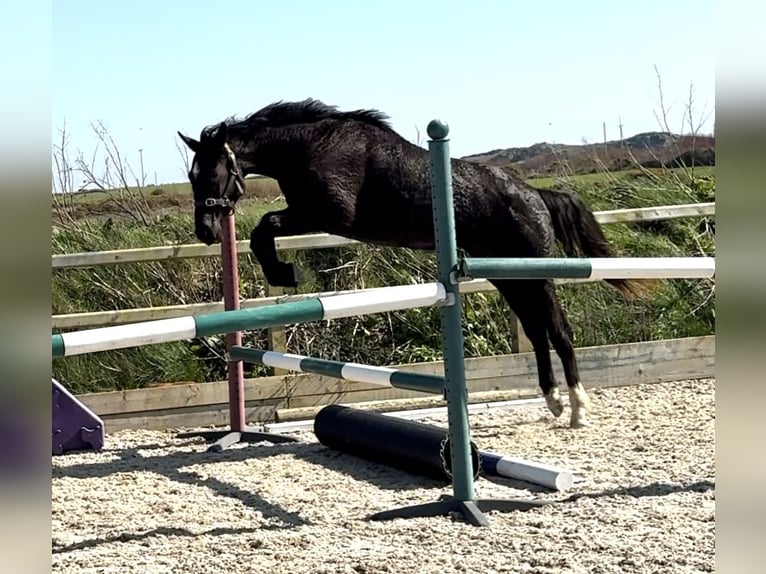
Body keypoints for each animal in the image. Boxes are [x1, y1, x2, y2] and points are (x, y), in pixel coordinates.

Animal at [178, 98, 644, 428]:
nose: (206, 230)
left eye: (212, 174)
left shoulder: (329, 215)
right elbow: (264, 229)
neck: (313, 148)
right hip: (507, 276)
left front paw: (284, 272)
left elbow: (265, 227)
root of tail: (535, 194)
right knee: (536, 329)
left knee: (559, 331)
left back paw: (578, 408)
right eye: (191, 176)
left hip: (535, 274)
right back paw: (553, 400)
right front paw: (283, 272)